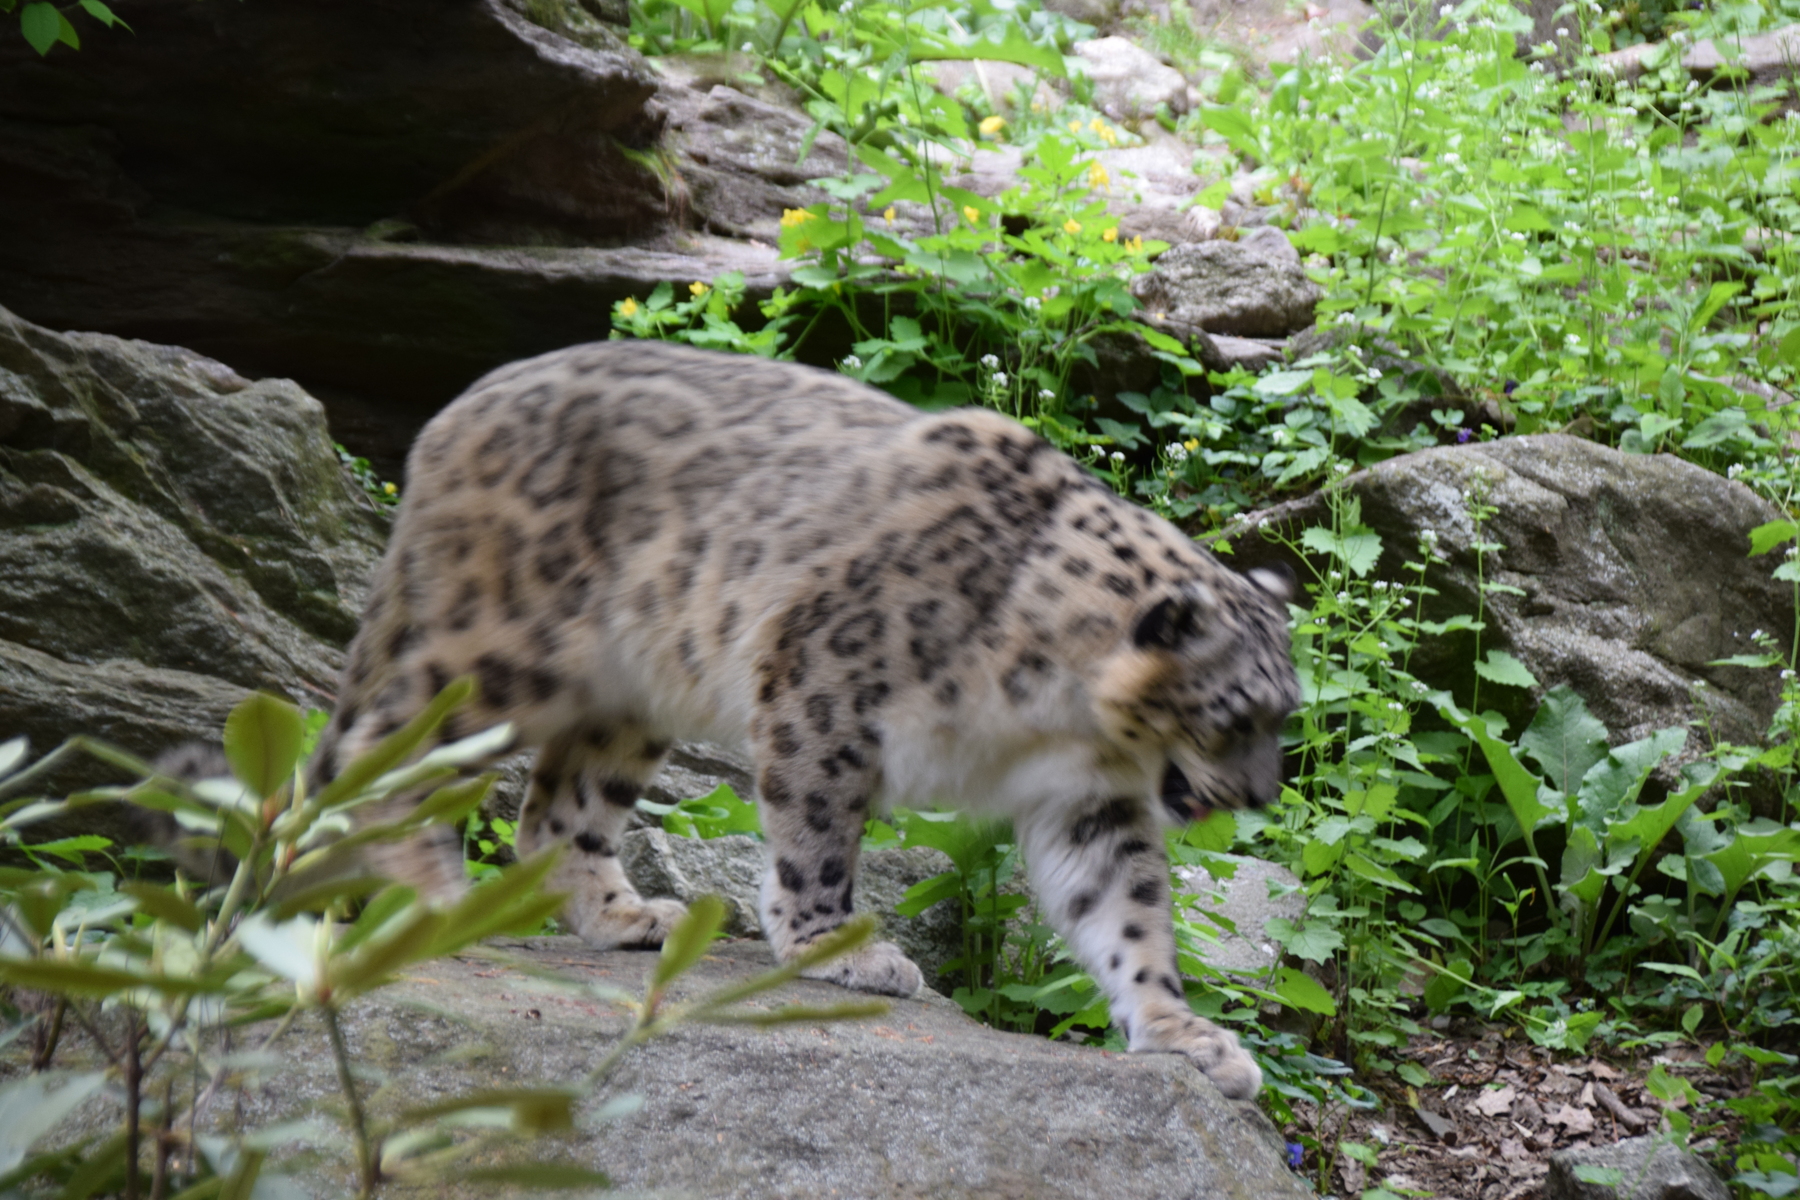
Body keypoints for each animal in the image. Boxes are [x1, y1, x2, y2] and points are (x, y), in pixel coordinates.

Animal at [314, 339, 1300, 1101]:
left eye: (1284, 715)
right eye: (1232, 717)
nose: (1260, 796)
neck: (1059, 717)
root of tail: (457, 410)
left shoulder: (1091, 798)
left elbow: (1128, 912)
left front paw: (1185, 1034)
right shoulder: (825, 683)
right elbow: (818, 832)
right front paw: (837, 947)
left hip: (630, 697)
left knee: (559, 810)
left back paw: (627, 917)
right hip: (504, 647)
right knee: (390, 749)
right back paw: (438, 899)